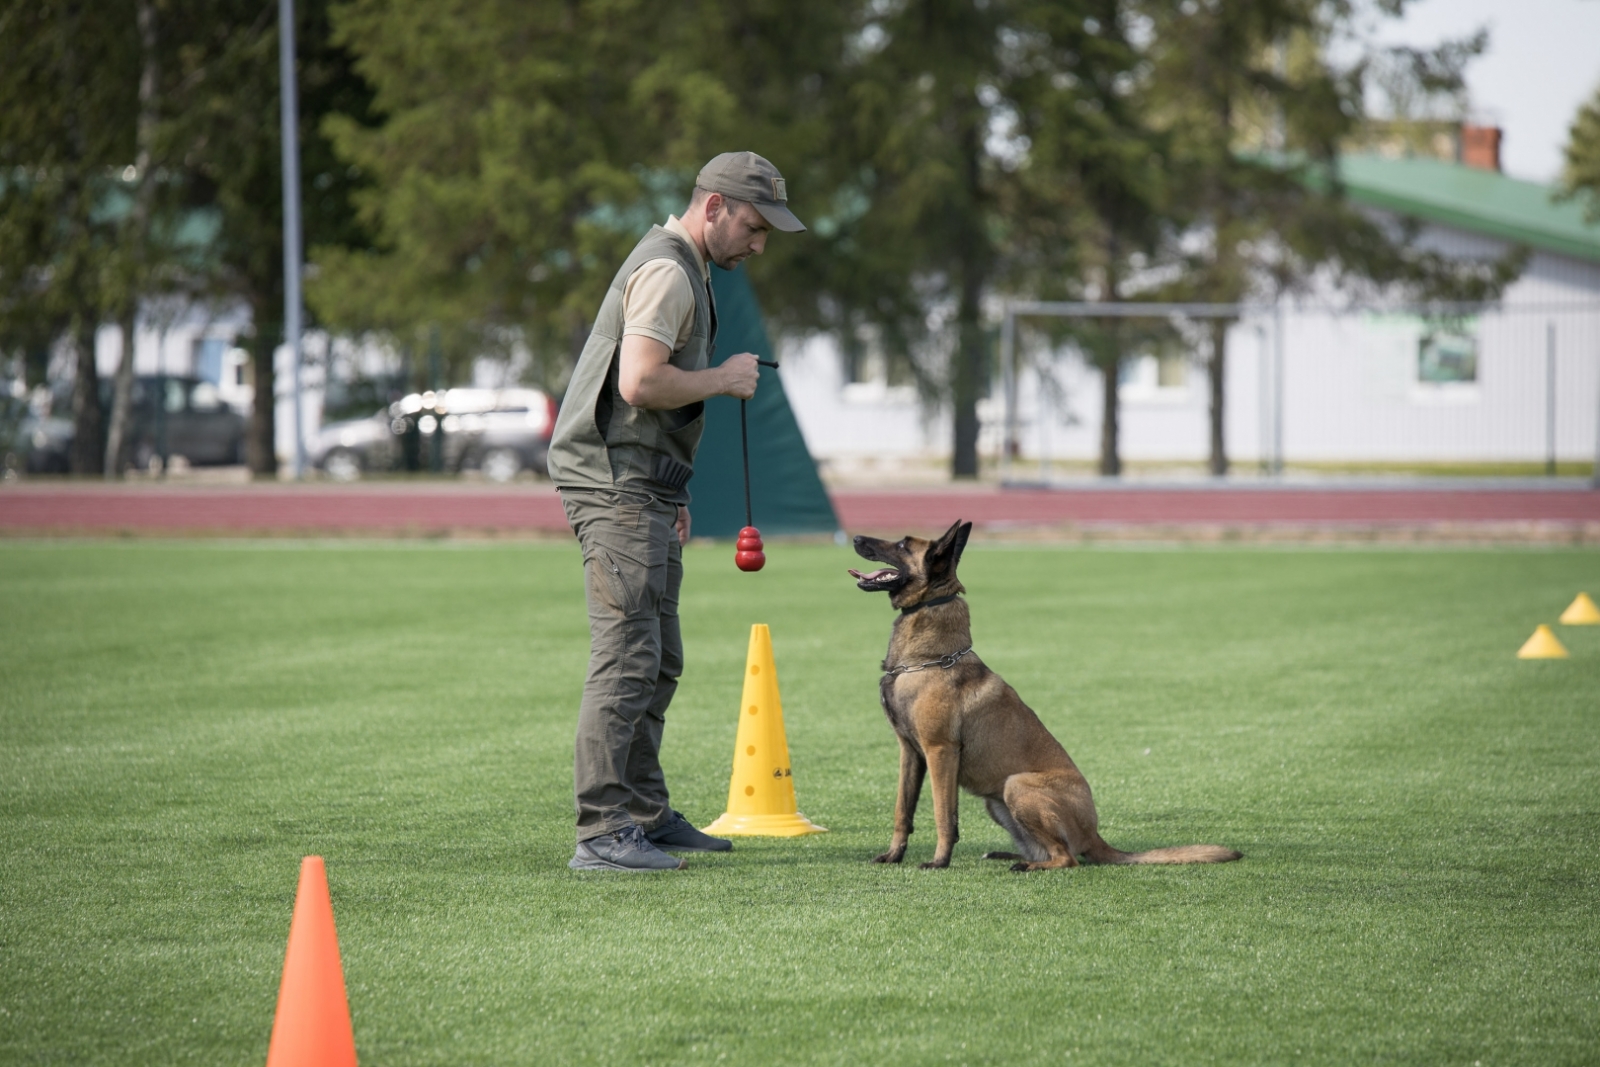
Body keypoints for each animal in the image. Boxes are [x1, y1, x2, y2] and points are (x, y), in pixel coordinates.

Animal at [844, 521, 1241, 870]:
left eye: (902, 544)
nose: (856, 537)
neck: (928, 659)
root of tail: (1095, 835)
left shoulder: (940, 752)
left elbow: (945, 815)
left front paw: (940, 862)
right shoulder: (911, 753)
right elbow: (903, 811)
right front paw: (894, 856)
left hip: (1016, 785)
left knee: (1067, 859)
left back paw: (1026, 865)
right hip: (998, 803)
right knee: (1050, 851)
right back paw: (1007, 856)